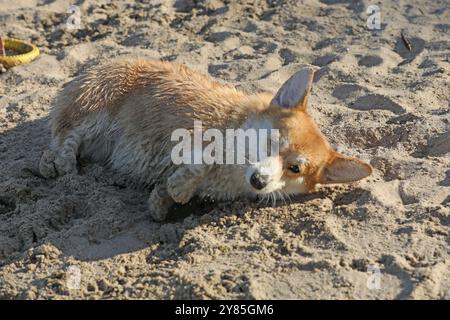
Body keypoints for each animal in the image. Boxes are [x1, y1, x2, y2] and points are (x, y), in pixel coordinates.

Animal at [38, 59, 370, 220]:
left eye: (295, 169)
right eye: (272, 142)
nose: (259, 181)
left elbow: (172, 189)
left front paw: (162, 202)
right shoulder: (193, 135)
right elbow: (202, 161)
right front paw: (180, 188)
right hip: (95, 105)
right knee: (64, 135)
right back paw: (58, 163)